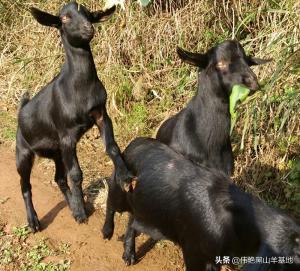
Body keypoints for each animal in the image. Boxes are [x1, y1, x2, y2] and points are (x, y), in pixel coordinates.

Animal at [16, 1, 132, 233]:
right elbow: (76, 174)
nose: (89, 28)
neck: (79, 87)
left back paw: (71, 204)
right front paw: (80, 213)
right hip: (23, 152)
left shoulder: (101, 114)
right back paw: (34, 221)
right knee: (26, 185)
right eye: (65, 18)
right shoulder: (67, 135)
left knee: (59, 177)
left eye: (87, 14)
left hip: (56, 151)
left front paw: (124, 176)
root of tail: (21, 111)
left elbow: (112, 147)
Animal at [103, 139, 300, 270]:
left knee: (132, 221)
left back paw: (129, 258)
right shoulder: (193, 251)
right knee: (111, 202)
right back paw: (107, 234)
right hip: (120, 189)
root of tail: (133, 144)